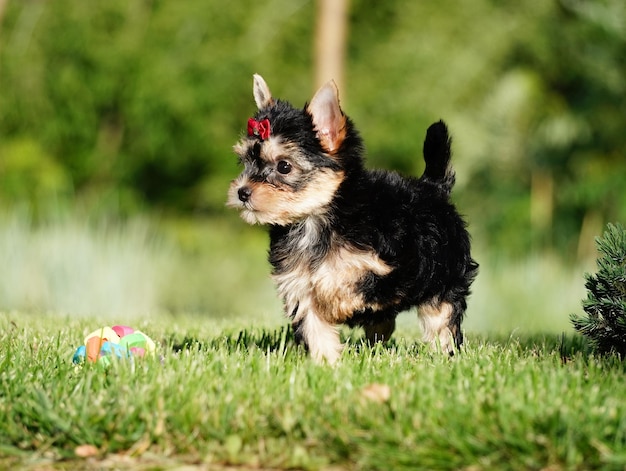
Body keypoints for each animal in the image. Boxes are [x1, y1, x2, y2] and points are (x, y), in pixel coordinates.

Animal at [227, 74, 476, 366]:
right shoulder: (298, 283)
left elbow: (348, 284)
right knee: (385, 323)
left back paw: (445, 354)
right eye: (245, 161)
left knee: (441, 319)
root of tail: (433, 187)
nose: (242, 192)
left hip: (444, 277)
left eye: (284, 166)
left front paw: (334, 305)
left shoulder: (384, 269)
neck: (314, 218)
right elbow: (315, 325)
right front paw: (326, 364)